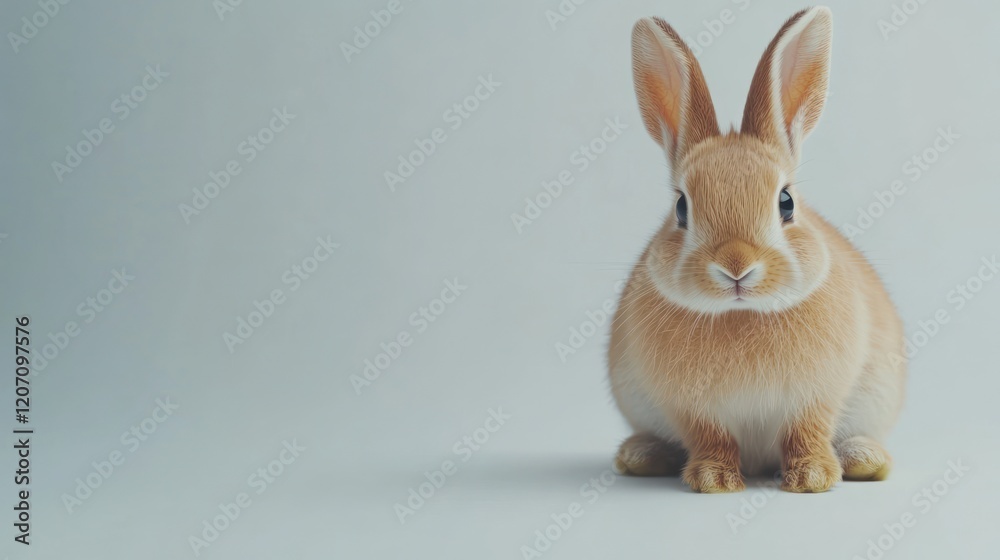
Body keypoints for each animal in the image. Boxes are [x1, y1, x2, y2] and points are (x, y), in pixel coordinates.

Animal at [608, 6, 906, 493]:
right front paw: (714, 480)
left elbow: (807, 430)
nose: (736, 266)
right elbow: (710, 437)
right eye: (681, 207)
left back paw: (865, 460)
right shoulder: (692, 409)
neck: (741, 313)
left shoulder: (817, 396)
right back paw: (641, 456)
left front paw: (812, 478)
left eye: (786, 202)